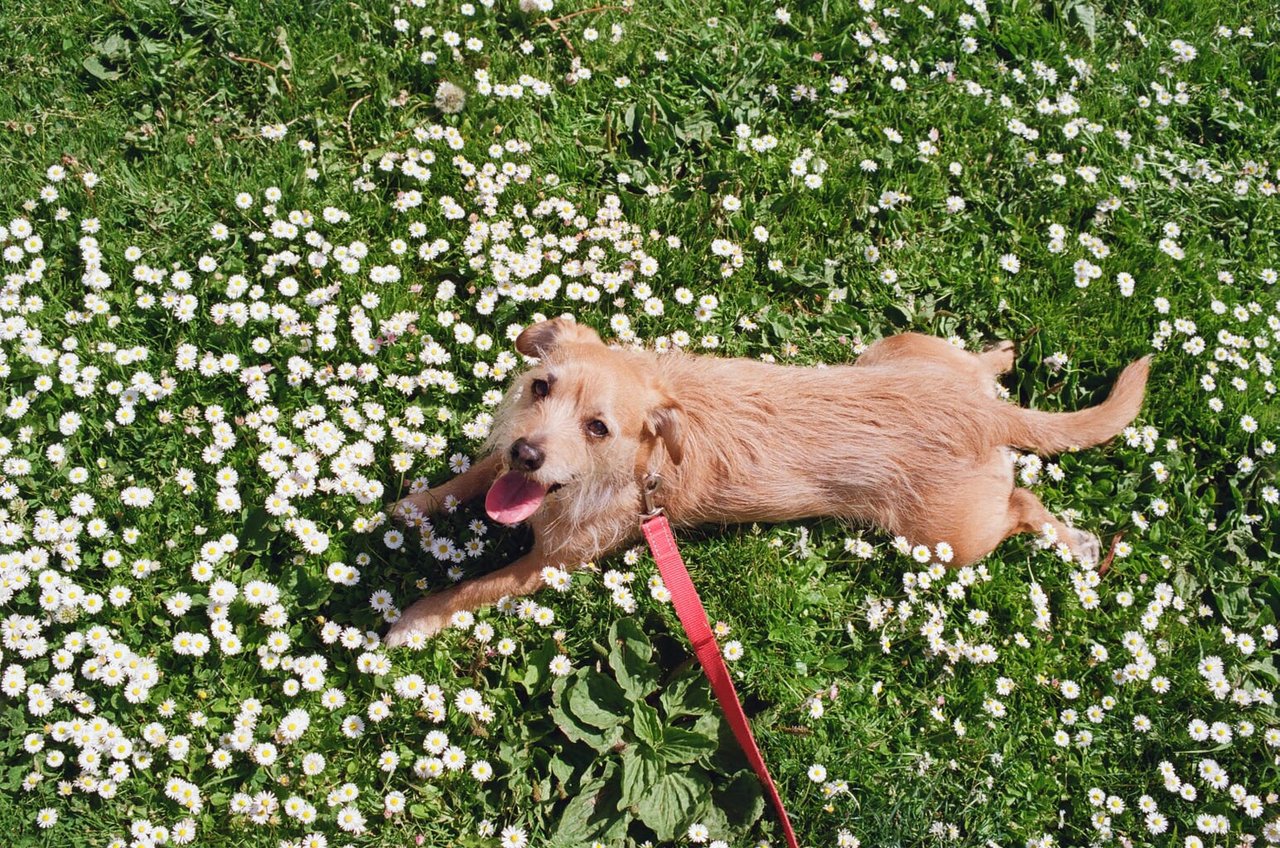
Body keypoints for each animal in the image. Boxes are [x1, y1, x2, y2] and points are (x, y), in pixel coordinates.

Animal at [384, 317, 1157, 645]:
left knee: (1023, 503)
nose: (529, 453)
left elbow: (467, 588)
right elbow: (468, 477)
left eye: (598, 428)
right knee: (980, 368)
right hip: (897, 351)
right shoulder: (504, 471)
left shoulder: (549, 565)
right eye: (540, 385)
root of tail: (981, 412)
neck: (641, 463)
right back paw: (999, 351)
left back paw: (1077, 542)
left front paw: (411, 621)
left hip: (946, 540)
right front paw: (404, 508)